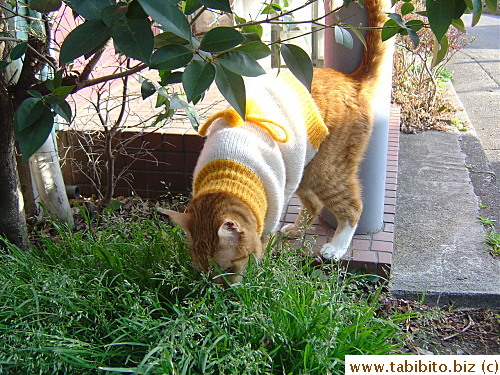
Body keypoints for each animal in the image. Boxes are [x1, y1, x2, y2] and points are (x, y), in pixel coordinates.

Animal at [164, 0, 390, 284]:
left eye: (229, 268)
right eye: (203, 271)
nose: (221, 289)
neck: (228, 173)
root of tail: (351, 80)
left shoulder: (274, 200)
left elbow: (262, 242)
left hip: (326, 171)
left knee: (352, 207)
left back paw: (336, 248)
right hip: (304, 169)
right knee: (315, 204)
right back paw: (296, 230)